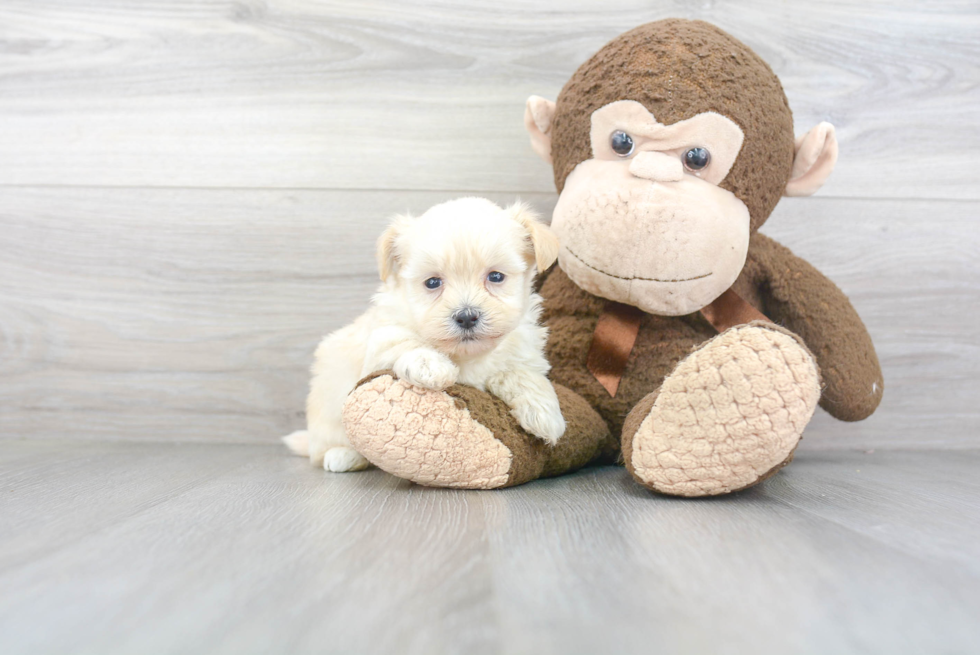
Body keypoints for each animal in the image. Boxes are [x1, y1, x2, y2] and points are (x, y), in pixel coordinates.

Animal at [282, 197, 568, 474]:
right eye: (432, 282)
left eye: (496, 276)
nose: (466, 316)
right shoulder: (382, 339)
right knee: (324, 448)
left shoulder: (522, 350)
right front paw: (431, 366)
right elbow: (405, 342)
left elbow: (522, 374)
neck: (466, 355)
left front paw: (544, 412)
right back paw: (344, 455)